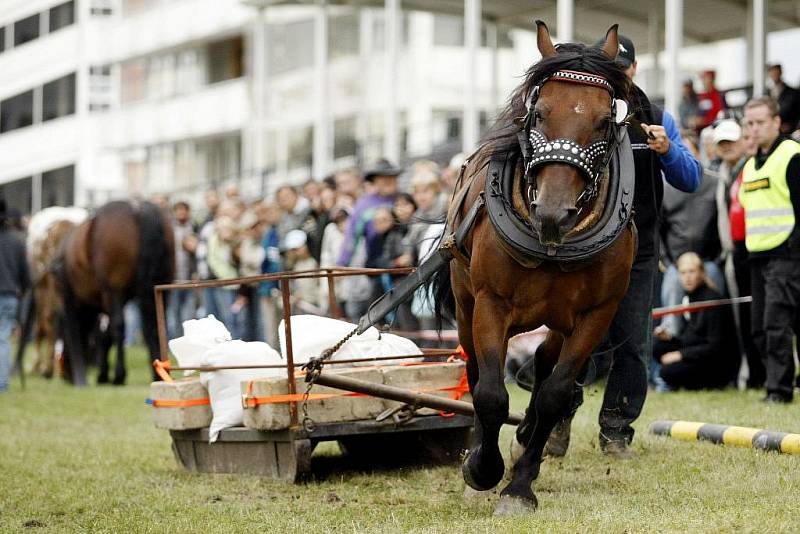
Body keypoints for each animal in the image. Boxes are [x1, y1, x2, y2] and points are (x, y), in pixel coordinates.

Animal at [60, 201, 176, 386]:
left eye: (63, 336)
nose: (66, 375)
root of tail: (138, 208)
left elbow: (105, 334)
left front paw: (105, 374)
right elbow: (105, 334)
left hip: (114, 291)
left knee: (119, 327)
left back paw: (119, 375)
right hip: (162, 287)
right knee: (156, 325)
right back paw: (158, 374)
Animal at [432, 23, 636, 516]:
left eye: (604, 121)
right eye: (540, 113)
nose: (553, 215)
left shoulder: (596, 314)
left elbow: (555, 393)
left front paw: (520, 486)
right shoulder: (491, 303)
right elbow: (489, 393)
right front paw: (481, 471)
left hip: (558, 318)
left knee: (545, 363)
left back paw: (527, 439)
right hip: (465, 301)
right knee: (475, 369)